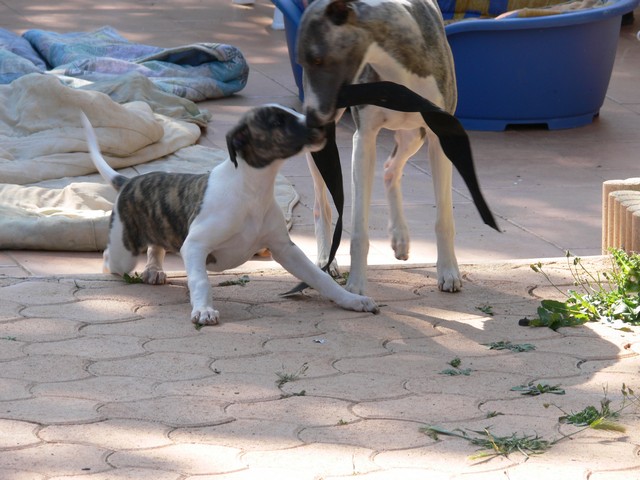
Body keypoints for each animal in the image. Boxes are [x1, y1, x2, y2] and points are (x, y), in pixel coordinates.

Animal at [82, 107, 378, 326]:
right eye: (278, 120)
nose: (325, 126)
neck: (251, 189)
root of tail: (129, 181)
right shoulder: (195, 245)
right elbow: (200, 279)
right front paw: (203, 310)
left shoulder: (285, 249)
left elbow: (320, 277)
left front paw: (352, 299)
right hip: (124, 251)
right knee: (110, 258)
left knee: (156, 246)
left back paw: (154, 270)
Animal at [298, 0, 462, 294]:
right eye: (303, 62)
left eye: (318, 59)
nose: (312, 120)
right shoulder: (364, 139)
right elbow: (358, 229)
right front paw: (356, 285)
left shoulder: (440, 136)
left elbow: (444, 218)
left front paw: (448, 271)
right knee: (321, 205)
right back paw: (325, 258)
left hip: (413, 135)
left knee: (390, 169)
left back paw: (400, 237)